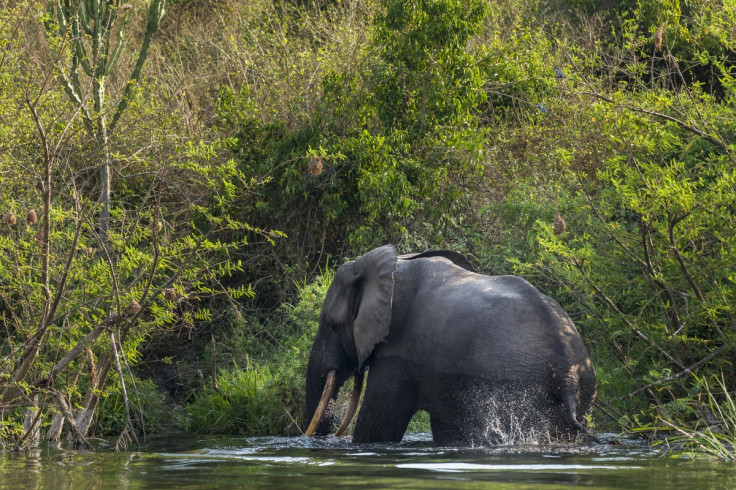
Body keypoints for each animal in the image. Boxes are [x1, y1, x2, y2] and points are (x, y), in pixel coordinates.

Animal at [304, 245, 600, 444]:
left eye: (330, 324)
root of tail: (566, 373)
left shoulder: (397, 354)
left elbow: (377, 428)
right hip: (585, 388)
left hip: (516, 385)